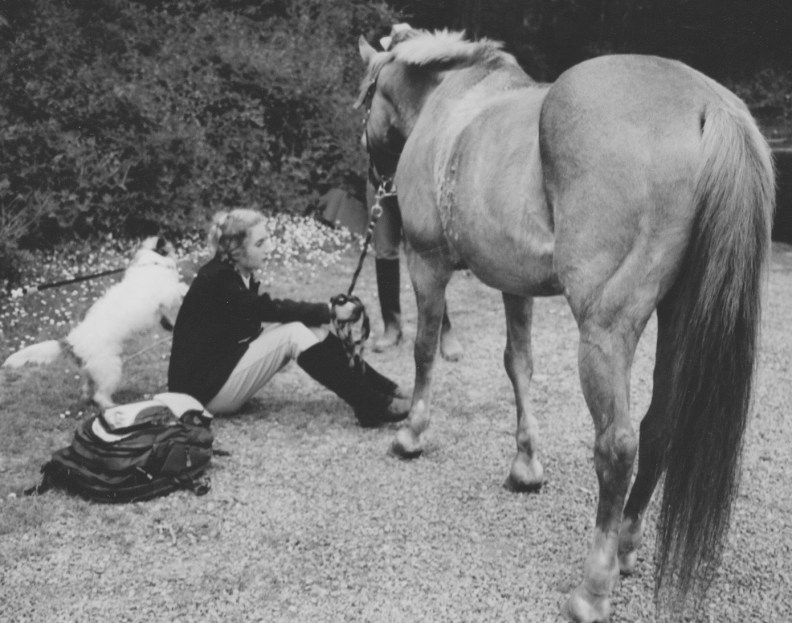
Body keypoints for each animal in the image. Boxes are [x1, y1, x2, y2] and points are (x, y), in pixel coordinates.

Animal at [354, 28, 774, 622]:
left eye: (366, 98)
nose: (373, 180)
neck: (453, 101)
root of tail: (710, 105)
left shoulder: (427, 263)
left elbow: (424, 348)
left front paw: (411, 432)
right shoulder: (515, 284)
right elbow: (519, 364)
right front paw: (526, 464)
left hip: (605, 330)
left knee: (618, 446)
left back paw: (593, 586)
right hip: (677, 313)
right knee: (658, 426)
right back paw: (625, 545)